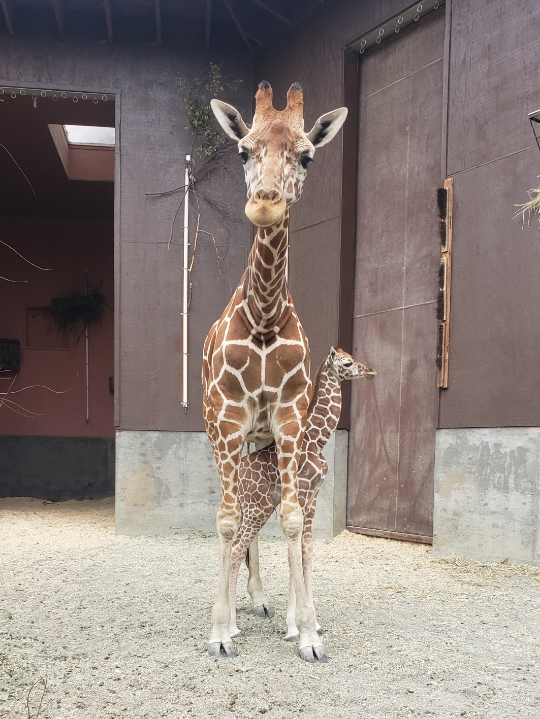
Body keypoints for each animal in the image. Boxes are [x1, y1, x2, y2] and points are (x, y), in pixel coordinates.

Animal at [202, 81, 347, 661]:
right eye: (243, 150)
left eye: (306, 155)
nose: (265, 203)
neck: (263, 316)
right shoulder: (225, 423)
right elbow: (224, 523)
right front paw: (220, 633)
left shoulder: (287, 423)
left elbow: (289, 522)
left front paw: (307, 633)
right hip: (234, 439)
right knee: (237, 518)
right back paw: (241, 615)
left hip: (260, 444)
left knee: (262, 521)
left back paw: (268, 606)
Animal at [228, 348, 376, 651]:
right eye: (347, 363)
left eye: (352, 357)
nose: (370, 371)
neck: (318, 438)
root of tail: (240, 477)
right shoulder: (303, 493)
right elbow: (292, 554)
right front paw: (294, 628)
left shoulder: (314, 497)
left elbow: (307, 552)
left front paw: (314, 625)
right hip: (258, 507)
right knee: (237, 549)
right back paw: (232, 628)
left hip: (250, 508)